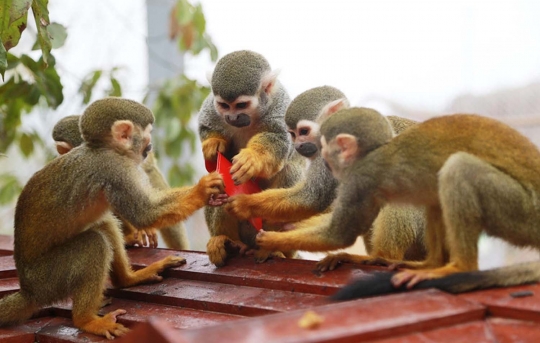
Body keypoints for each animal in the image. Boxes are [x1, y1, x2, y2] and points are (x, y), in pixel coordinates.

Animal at [199, 49, 308, 268]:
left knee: (290, 171)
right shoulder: (212, 108)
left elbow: (278, 141)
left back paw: (271, 247)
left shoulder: (279, 109)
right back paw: (227, 241)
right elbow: (208, 134)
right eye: (224, 105)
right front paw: (213, 144)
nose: (232, 118)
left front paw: (252, 159)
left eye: (241, 104)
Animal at [228, 85, 426, 266]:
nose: (298, 146)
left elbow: (313, 198)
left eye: (304, 132)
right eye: (292, 134)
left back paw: (382, 257)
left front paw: (245, 205)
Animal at [300, 107, 540, 300]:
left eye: (325, 147)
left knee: (457, 169)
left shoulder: (363, 177)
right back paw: (426, 263)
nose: (323, 159)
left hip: (522, 212)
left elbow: (339, 233)